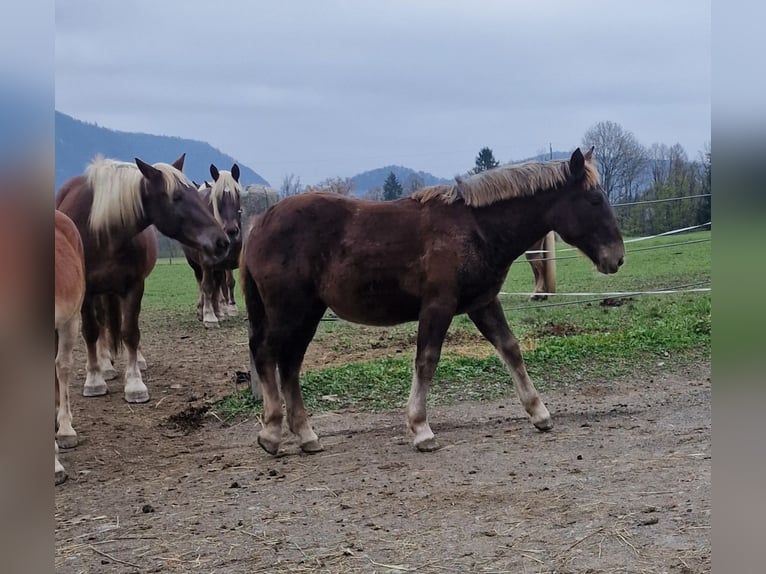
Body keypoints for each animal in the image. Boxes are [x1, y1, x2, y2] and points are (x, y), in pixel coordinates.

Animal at [58, 155, 230, 402]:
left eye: (197, 195)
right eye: (176, 197)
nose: (222, 242)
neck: (102, 232)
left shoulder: (134, 286)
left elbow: (130, 331)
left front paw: (134, 383)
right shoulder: (87, 291)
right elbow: (91, 331)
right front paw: (94, 380)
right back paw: (105, 365)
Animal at [183, 164, 243, 330]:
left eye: (238, 195)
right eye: (218, 198)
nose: (231, 231)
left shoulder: (226, 263)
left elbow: (222, 284)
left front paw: (222, 311)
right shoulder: (207, 263)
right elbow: (207, 286)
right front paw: (209, 317)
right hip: (195, 264)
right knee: (201, 283)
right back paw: (202, 310)